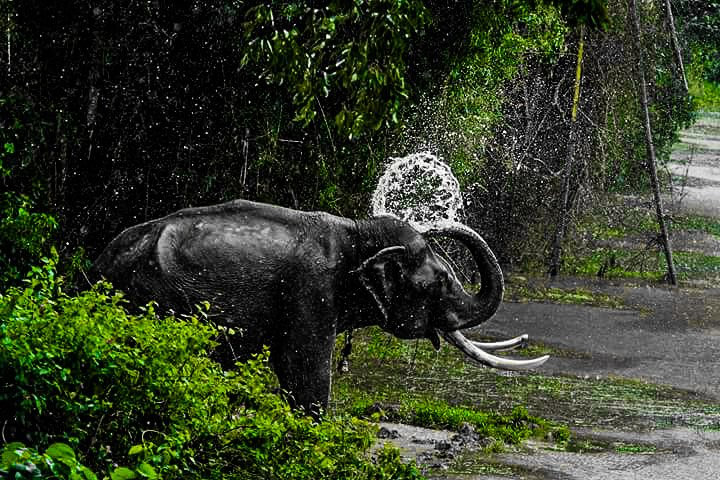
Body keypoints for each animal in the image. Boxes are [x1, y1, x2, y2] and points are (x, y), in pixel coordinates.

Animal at [92, 199, 547, 414]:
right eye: (438, 282)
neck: (356, 233)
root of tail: (102, 262)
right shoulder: (311, 291)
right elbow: (303, 370)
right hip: (158, 298)